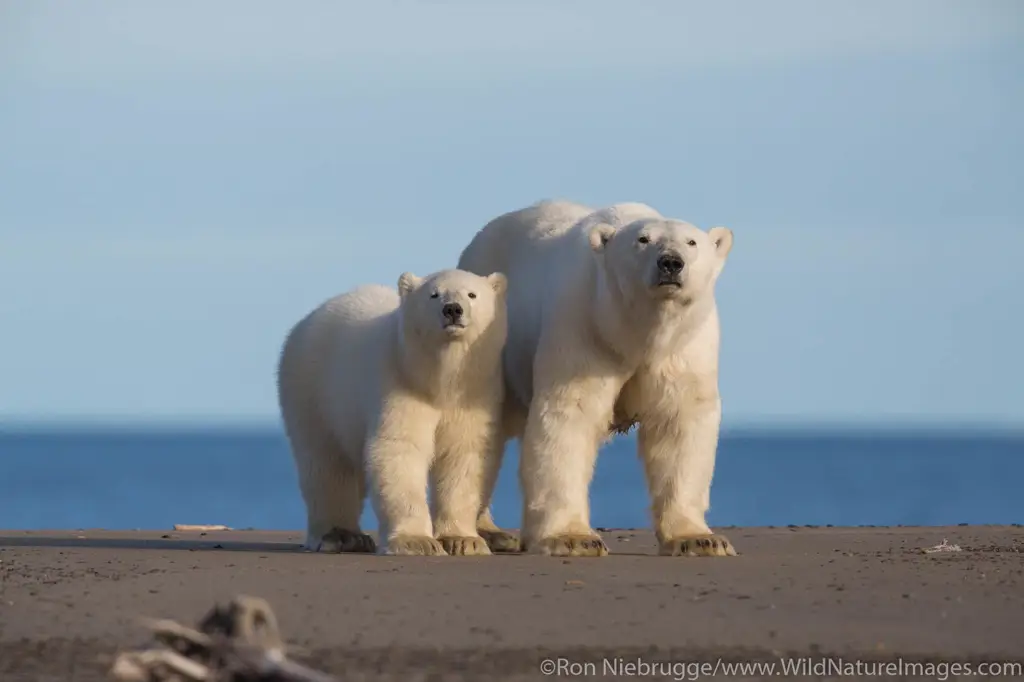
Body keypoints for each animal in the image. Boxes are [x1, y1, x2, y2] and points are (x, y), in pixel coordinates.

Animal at [278, 266, 509, 552]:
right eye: (434, 294)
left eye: (472, 294)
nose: (453, 309)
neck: (439, 381)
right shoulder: (399, 385)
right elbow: (400, 449)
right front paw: (416, 541)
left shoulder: (475, 395)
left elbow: (464, 455)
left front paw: (463, 539)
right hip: (313, 390)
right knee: (327, 464)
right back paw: (340, 534)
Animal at [458, 199, 737, 557]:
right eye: (643, 240)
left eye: (691, 242)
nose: (671, 263)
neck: (635, 332)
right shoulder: (583, 327)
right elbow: (570, 417)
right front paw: (572, 538)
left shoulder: (684, 348)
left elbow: (679, 423)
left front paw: (698, 539)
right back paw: (490, 531)